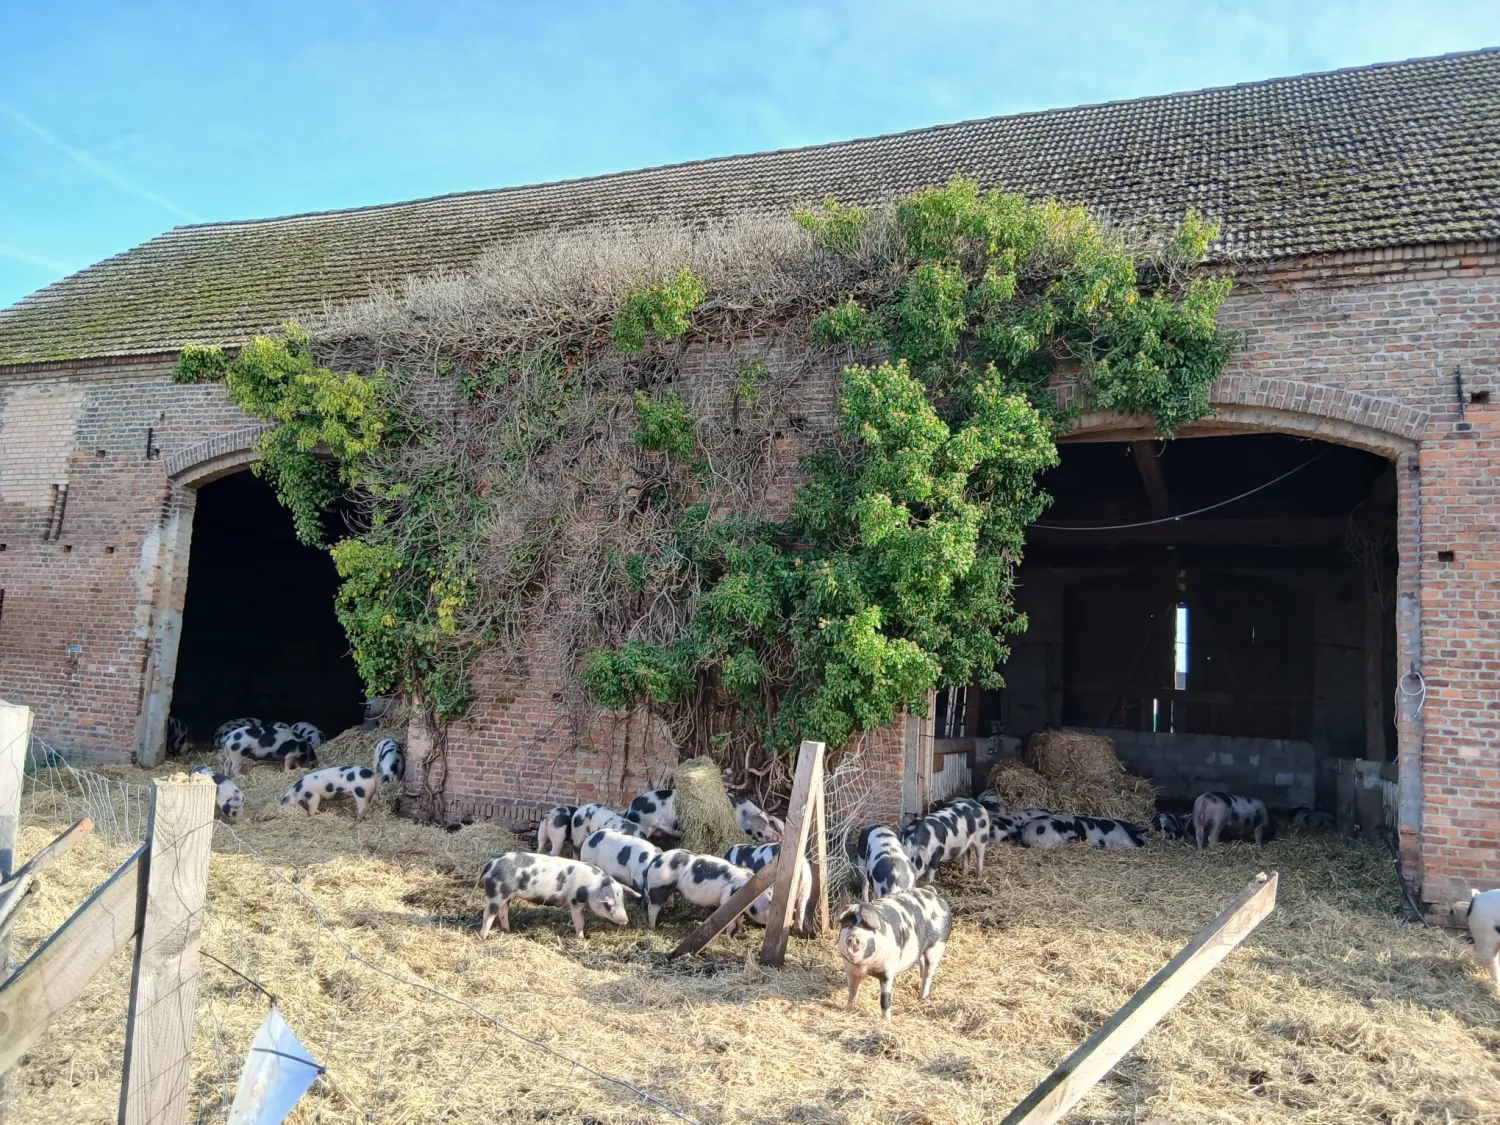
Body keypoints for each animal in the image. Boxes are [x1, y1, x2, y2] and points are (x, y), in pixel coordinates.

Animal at [479, 852, 633, 938]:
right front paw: (581, 938)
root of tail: (491, 863)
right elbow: (579, 921)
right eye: (609, 902)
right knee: (488, 913)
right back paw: (483, 936)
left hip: (506, 895)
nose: (625, 919)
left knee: (503, 911)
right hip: (497, 894)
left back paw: (508, 930)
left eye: (621, 899)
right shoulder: (575, 901)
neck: (593, 887)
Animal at [836, 886, 953, 1021]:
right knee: (922, 963)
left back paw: (922, 998)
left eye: (867, 927)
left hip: (937, 946)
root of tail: (934, 894)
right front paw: (849, 1009)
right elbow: (852, 992)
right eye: (847, 924)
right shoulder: (850, 969)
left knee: (929, 974)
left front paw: (887, 1021)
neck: (865, 967)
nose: (854, 937)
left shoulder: (888, 970)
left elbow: (885, 999)